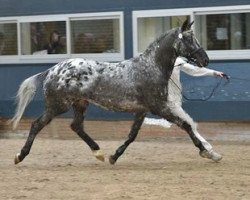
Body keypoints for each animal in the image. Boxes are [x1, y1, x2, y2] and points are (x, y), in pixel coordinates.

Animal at [10, 19, 222, 165]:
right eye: (189, 39)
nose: (205, 60)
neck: (150, 68)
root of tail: (52, 70)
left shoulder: (142, 110)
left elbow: (132, 135)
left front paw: (114, 156)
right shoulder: (159, 107)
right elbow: (186, 125)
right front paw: (207, 153)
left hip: (80, 103)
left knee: (76, 126)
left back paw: (99, 153)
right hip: (58, 106)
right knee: (37, 125)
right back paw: (20, 155)